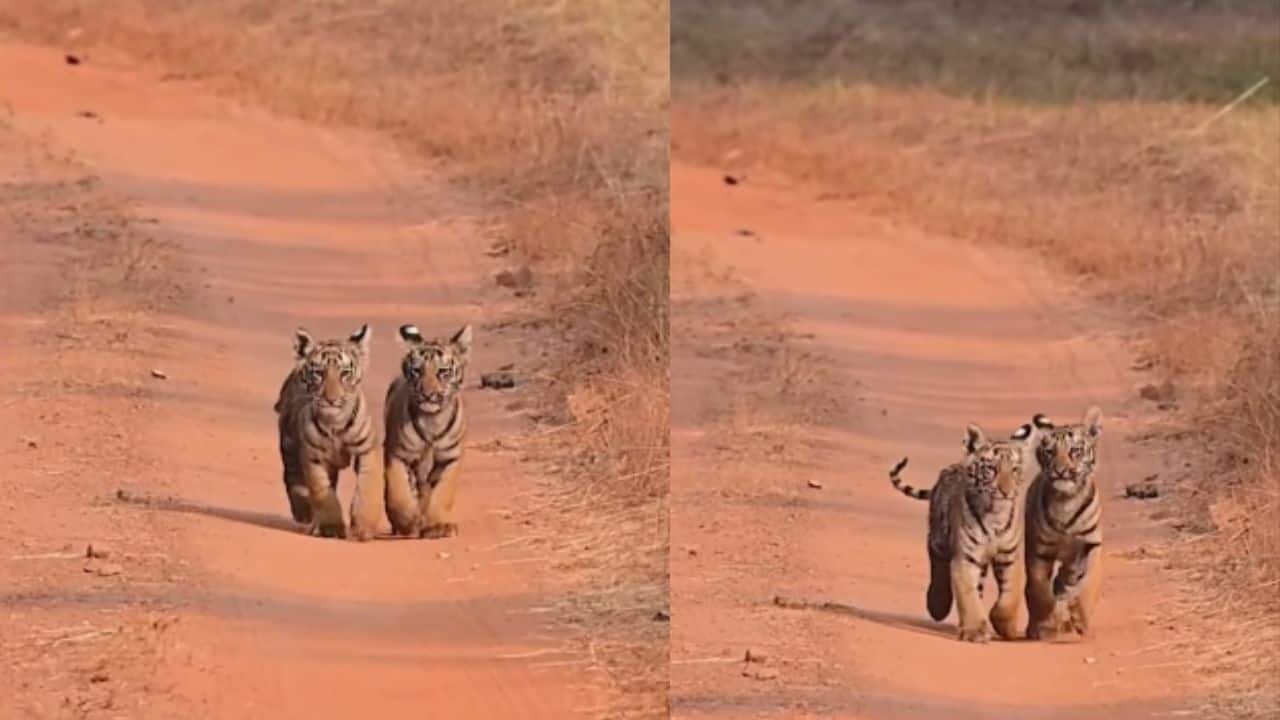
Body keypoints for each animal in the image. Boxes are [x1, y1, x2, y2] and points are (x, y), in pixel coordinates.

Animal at [273, 324, 378, 540]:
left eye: (345, 373)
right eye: (319, 373)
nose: (331, 399)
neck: (335, 424)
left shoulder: (366, 450)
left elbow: (367, 487)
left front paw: (364, 526)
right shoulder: (314, 458)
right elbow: (324, 493)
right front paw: (332, 528)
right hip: (288, 444)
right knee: (291, 477)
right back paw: (303, 512)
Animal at [377, 323, 472, 540]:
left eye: (443, 371)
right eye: (417, 370)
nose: (428, 395)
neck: (432, 420)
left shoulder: (450, 458)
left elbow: (442, 493)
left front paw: (436, 526)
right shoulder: (398, 454)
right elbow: (398, 492)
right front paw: (407, 522)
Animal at [888, 420, 1042, 642]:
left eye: (1015, 470)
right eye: (991, 469)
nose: (1006, 491)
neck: (994, 516)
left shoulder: (1010, 556)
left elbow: (1010, 594)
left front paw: (1005, 627)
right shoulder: (966, 558)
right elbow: (968, 595)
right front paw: (974, 631)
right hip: (939, 538)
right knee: (935, 556)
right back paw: (937, 604)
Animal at [1024, 406, 1104, 641]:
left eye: (1075, 450)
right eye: (1049, 452)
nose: (1060, 471)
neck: (1066, 499)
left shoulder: (1091, 544)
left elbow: (1091, 582)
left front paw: (1081, 617)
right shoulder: (1039, 549)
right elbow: (1038, 587)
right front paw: (1045, 623)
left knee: (1067, 579)